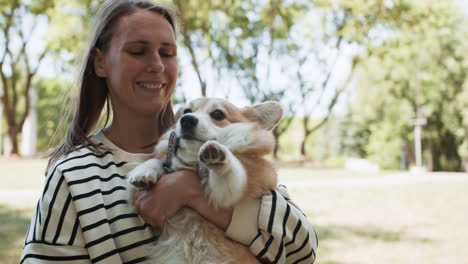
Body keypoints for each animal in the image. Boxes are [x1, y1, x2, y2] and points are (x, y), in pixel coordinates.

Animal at [126, 97, 284, 264]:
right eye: (187, 111)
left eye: (218, 114)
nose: (186, 120)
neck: (193, 162)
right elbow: (158, 161)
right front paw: (143, 171)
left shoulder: (229, 193)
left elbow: (229, 172)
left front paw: (219, 154)